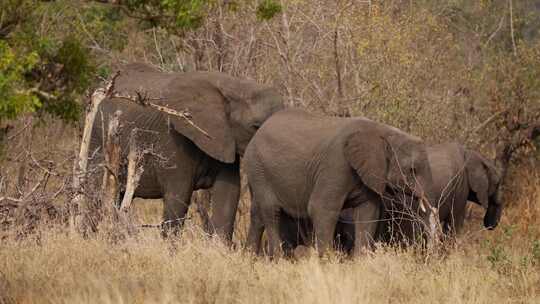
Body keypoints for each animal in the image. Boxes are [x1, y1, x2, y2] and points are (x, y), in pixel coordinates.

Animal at [89, 64, 282, 242]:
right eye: (255, 127)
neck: (233, 85)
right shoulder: (174, 138)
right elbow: (178, 197)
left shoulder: (226, 139)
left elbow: (228, 193)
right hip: (98, 135)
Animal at [245, 108, 438, 258]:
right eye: (412, 170)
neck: (383, 132)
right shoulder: (335, 165)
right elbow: (321, 208)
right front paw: (326, 261)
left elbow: (368, 212)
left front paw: (361, 262)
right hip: (259, 168)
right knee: (271, 211)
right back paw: (278, 258)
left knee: (257, 213)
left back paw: (251, 257)